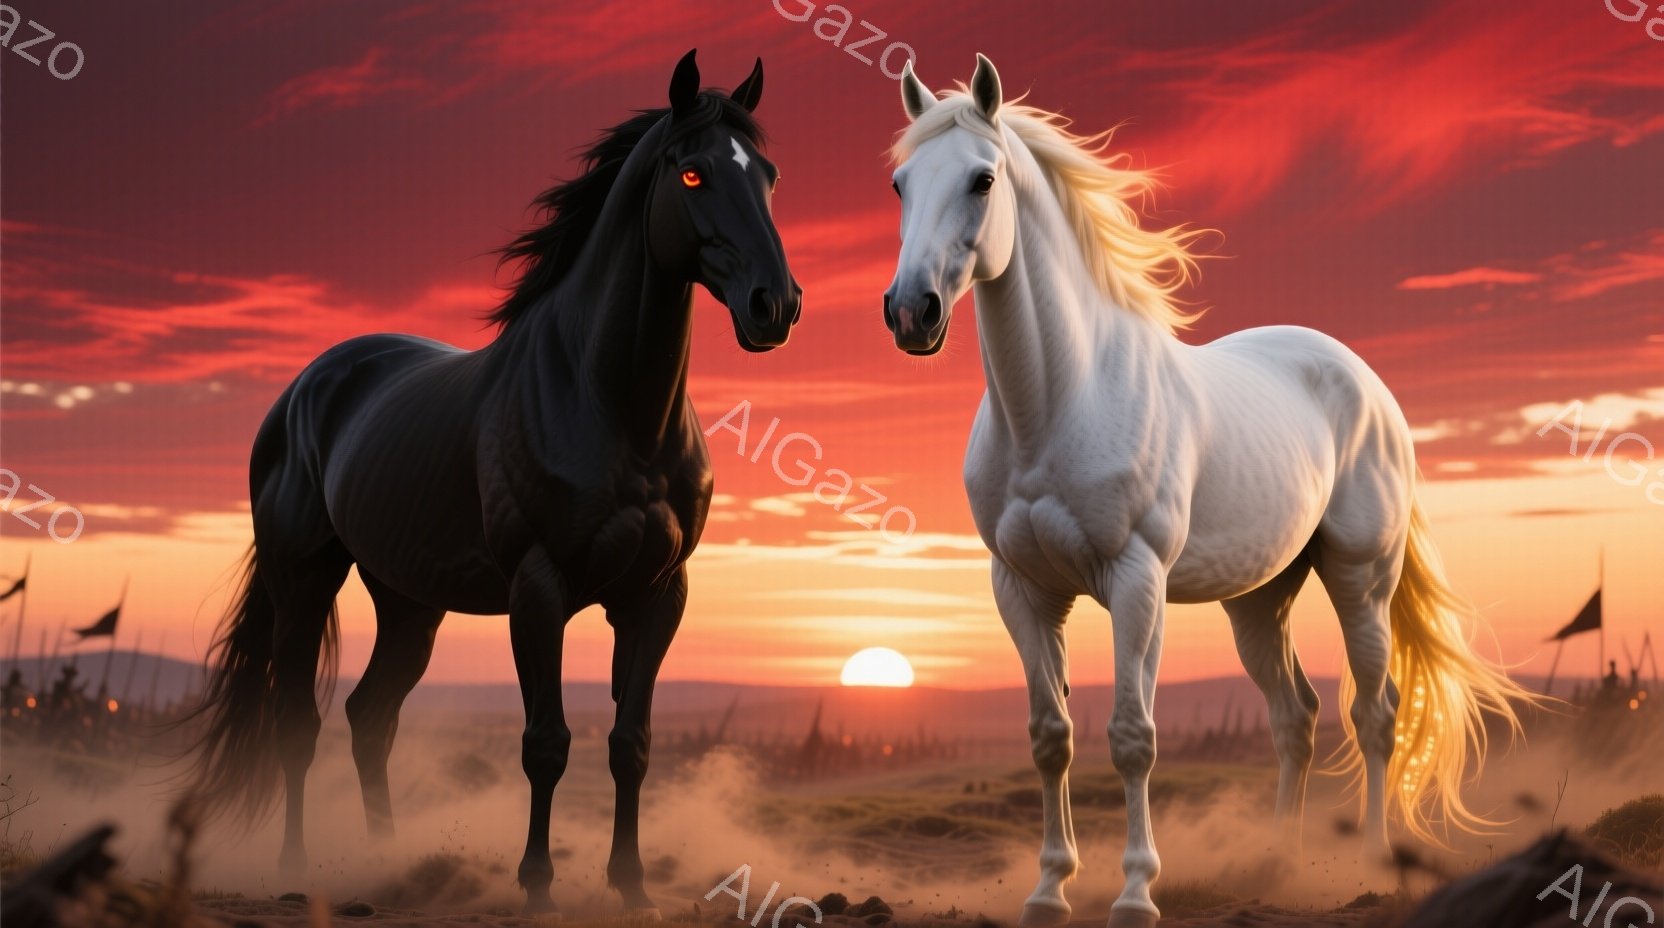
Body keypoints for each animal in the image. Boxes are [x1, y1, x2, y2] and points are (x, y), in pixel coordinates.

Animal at [181, 50, 801, 917]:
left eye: (769, 175)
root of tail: (309, 385)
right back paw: (296, 868)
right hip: (304, 579)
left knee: (371, 718)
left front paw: (632, 885)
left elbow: (632, 743)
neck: (610, 405)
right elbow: (546, 743)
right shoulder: (538, 589)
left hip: (409, 602)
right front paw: (537, 885)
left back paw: (386, 860)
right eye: (691, 173)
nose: (775, 305)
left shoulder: (657, 596)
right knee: (297, 722)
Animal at [880, 55, 1533, 928]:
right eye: (900, 184)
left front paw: (1134, 894)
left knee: (1375, 713)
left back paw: (1370, 862)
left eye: (983, 179)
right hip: (1258, 600)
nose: (908, 312)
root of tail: (1362, 378)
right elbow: (1050, 735)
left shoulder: (1135, 581)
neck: (1058, 403)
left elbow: (1134, 736)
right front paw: (1049, 889)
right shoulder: (1021, 589)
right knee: (1295, 718)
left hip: (1360, 580)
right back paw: (1279, 863)